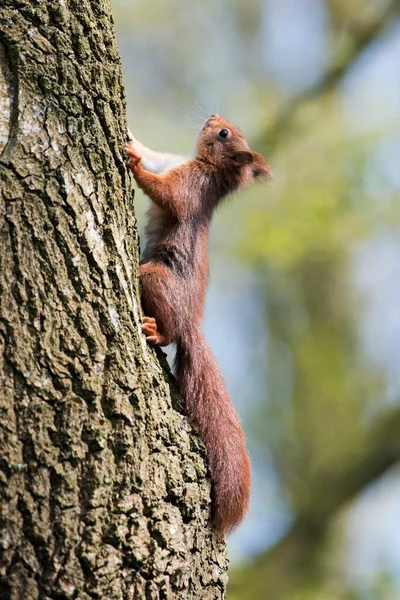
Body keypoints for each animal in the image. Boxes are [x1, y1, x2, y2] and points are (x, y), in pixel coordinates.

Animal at [125, 113, 272, 536]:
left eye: (224, 134)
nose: (213, 117)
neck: (202, 164)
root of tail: (192, 323)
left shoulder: (191, 188)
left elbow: (167, 193)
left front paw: (133, 165)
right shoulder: (171, 161)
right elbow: (152, 154)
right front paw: (130, 138)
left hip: (155, 279)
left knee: (170, 332)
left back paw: (157, 330)